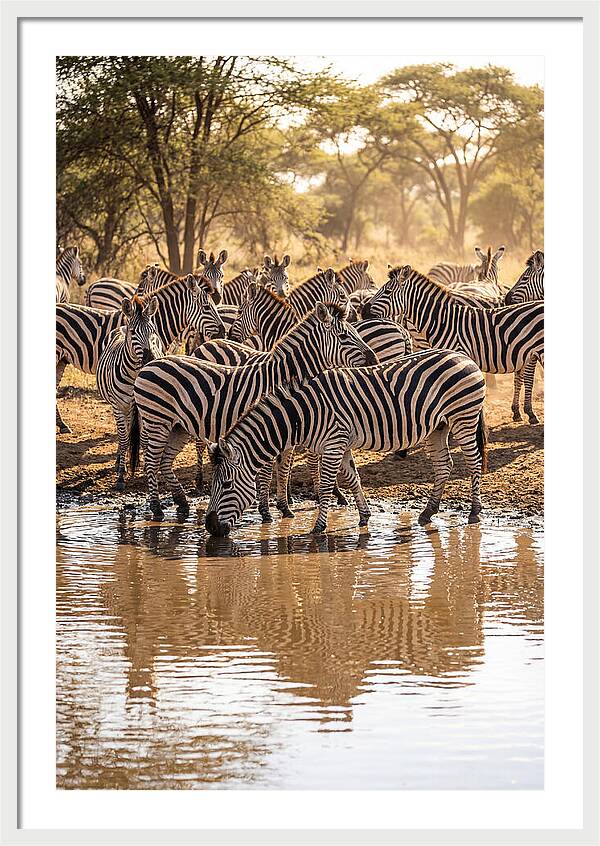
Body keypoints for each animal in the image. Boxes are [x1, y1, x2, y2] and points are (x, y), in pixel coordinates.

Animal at [97, 295, 164, 489]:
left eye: (153, 331)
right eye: (134, 332)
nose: (151, 359)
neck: (135, 375)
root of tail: (121, 326)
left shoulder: (147, 409)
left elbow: (145, 440)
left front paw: (148, 470)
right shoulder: (118, 406)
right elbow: (124, 438)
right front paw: (120, 476)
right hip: (119, 407)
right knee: (123, 434)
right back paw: (120, 461)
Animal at [129, 302, 378, 521]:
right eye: (344, 336)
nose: (374, 359)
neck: (282, 378)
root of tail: (148, 365)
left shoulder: (287, 430)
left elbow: (284, 468)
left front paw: (285, 508)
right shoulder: (269, 427)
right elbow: (267, 472)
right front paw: (266, 512)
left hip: (178, 427)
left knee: (164, 462)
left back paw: (181, 503)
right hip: (157, 421)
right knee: (151, 462)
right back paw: (157, 509)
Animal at [204, 348, 488, 536]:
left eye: (226, 484)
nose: (210, 527)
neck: (304, 413)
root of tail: (464, 357)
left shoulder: (334, 443)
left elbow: (326, 488)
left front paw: (318, 528)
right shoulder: (340, 445)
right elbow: (353, 479)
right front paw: (364, 516)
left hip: (463, 417)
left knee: (474, 462)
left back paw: (474, 511)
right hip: (437, 427)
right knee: (444, 466)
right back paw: (428, 512)